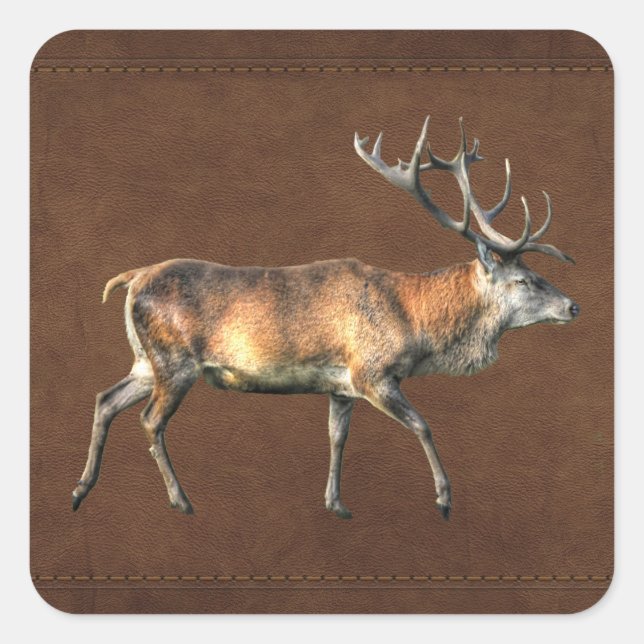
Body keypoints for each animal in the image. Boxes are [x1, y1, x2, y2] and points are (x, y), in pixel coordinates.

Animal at [71, 116, 579, 521]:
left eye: (539, 274)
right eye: (524, 280)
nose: (573, 306)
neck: (415, 325)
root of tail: (133, 278)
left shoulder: (341, 386)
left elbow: (337, 438)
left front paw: (336, 504)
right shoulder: (372, 370)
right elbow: (422, 425)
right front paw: (444, 499)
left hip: (145, 361)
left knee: (105, 399)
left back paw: (81, 489)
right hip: (175, 360)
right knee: (150, 420)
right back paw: (181, 500)